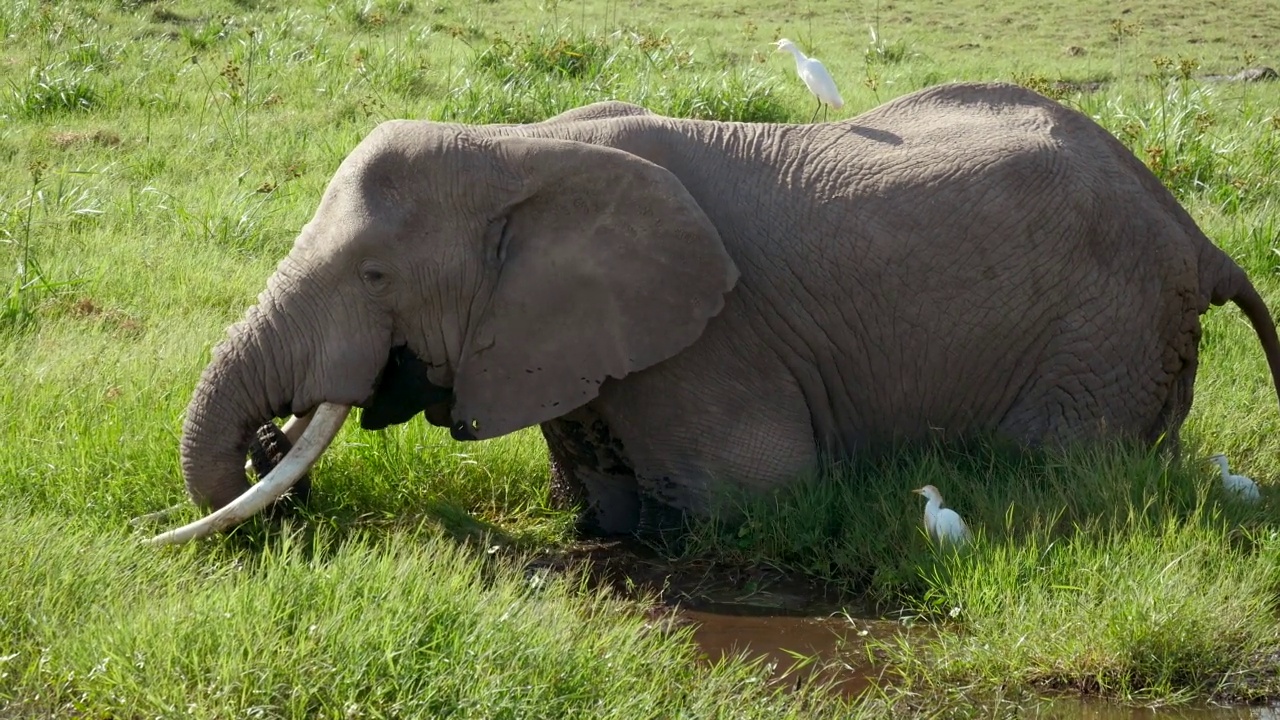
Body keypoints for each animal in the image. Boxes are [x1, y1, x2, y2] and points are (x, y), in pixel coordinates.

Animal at [145, 82, 1280, 543]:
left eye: (375, 276)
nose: (273, 445)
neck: (521, 142)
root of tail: (1194, 233)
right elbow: (599, 499)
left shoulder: (712, 341)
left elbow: (748, 493)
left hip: (1104, 331)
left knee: (1060, 461)